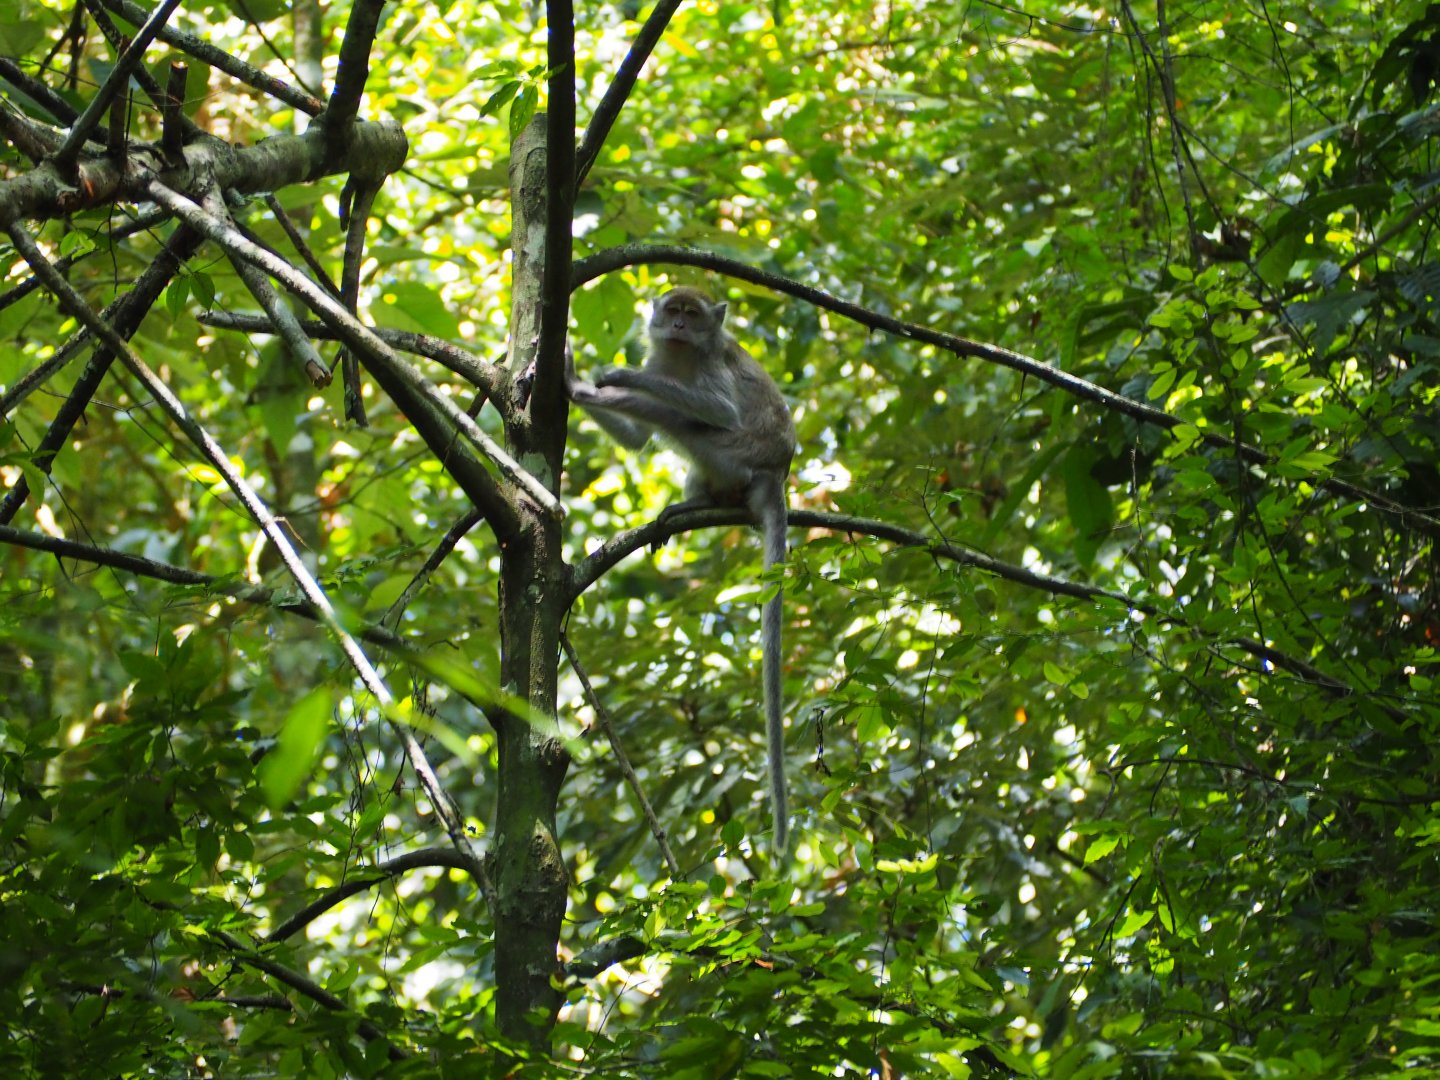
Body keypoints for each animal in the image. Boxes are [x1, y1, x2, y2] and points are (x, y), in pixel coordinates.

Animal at [566, 286, 797, 857]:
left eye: (692, 316)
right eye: (673, 311)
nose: (677, 326)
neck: (681, 361)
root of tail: (776, 473)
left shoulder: (710, 368)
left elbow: (717, 408)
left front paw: (620, 377)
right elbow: (636, 443)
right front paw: (572, 381)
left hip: (737, 456)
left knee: (689, 420)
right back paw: (694, 503)